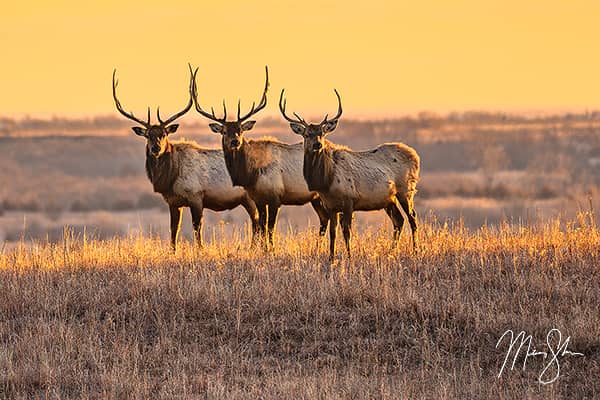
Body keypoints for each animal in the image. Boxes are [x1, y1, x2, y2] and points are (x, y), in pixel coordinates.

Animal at [112, 67, 258, 252]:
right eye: (147, 135)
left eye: (164, 134)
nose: (156, 148)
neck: (170, 177)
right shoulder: (173, 201)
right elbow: (174, 228)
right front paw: (172, 251)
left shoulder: (196, 195)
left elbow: (197, 226)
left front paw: (200, 250)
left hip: (250, 196)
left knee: (257, 219)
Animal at [190, 66, 328, 248]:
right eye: (224, 131)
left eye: (241, 130)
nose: (235, 141)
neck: (252, 174)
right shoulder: (259, 199)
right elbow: (262, 227)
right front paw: (264, 249)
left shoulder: (276, 197)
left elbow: (270, 228)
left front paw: (271, 250)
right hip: (316, 197)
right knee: (325, 218)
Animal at [278, 87, 420, 260]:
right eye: (306, 134)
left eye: (322, 133)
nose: (318, 144)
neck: (326, 182)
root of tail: (415, 156)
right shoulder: (331, 206)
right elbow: (333, 233)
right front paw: (331, 257)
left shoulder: (349, 200)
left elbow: (347, 232)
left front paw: (349, 256)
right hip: (389, 199)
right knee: (399, 220)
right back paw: (391, 251)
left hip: (406, 190)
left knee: (412, 218)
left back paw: (416, 250)